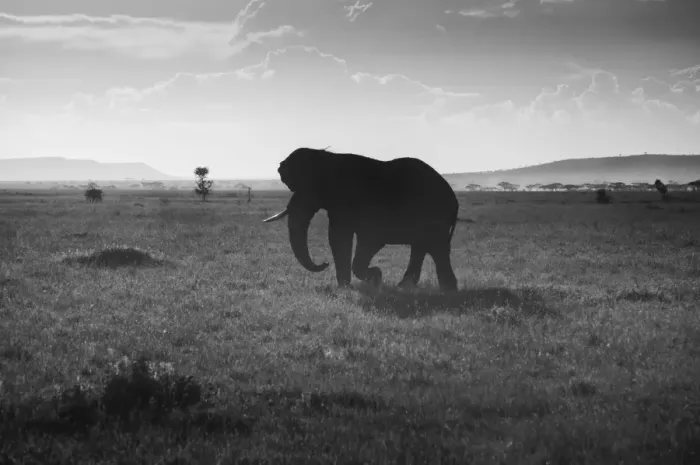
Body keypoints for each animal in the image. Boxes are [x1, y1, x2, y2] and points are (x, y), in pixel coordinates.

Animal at [263, 147, 459, 291]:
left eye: (305, 189)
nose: (324, 263)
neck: (328, 160)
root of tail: (454, 199)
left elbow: (365, 239)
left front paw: (375, 278)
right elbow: (338, 237)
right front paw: (346, 287)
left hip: (435, 215)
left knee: (436, 248)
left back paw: (446, 290)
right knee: (424, 247)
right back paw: (407, 287)